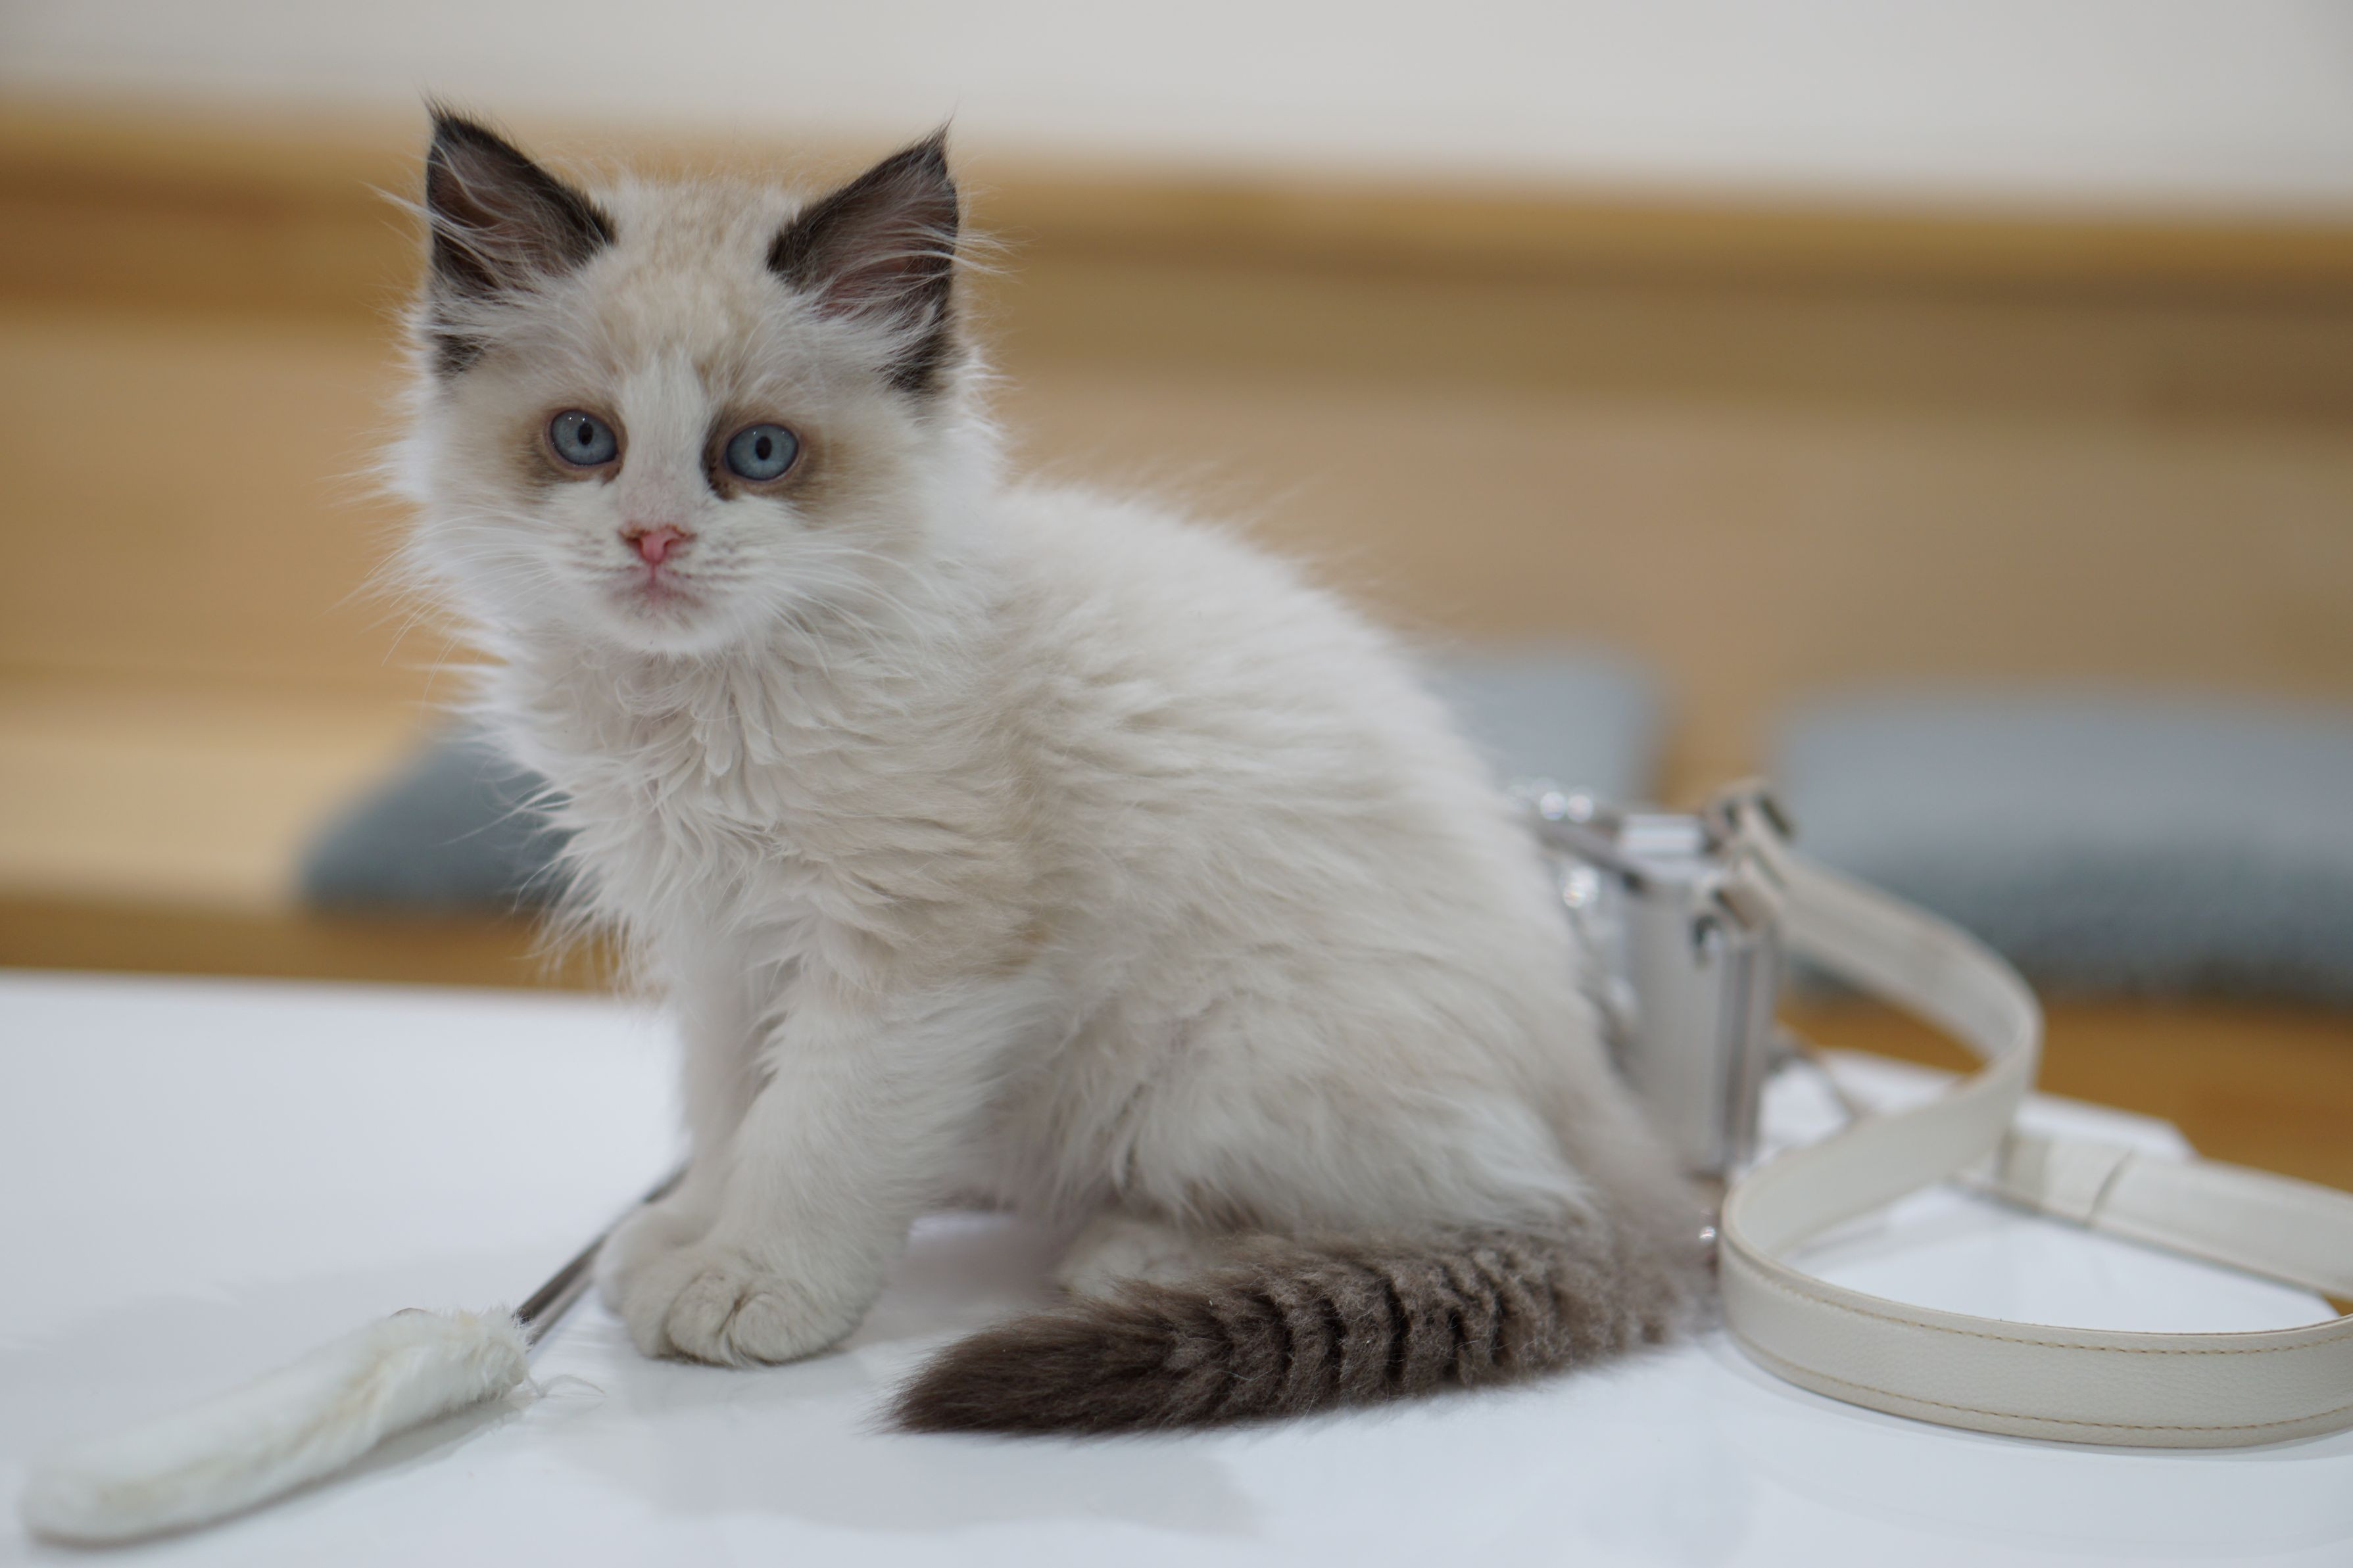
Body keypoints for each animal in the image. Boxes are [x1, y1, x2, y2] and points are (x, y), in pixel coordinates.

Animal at [395, 108, 1709, 1433]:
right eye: (583, 442)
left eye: (756, 453)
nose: (654, 540)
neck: (705, 707)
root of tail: (1620, 1134)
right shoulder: (723, 954)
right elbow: (730, 1115)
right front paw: (688, 1233)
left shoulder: (916, 958)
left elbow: (815, 1134)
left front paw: (751, 1282)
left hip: (1226, 1064)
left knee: (1472, 1206)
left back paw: (1139, 1249)